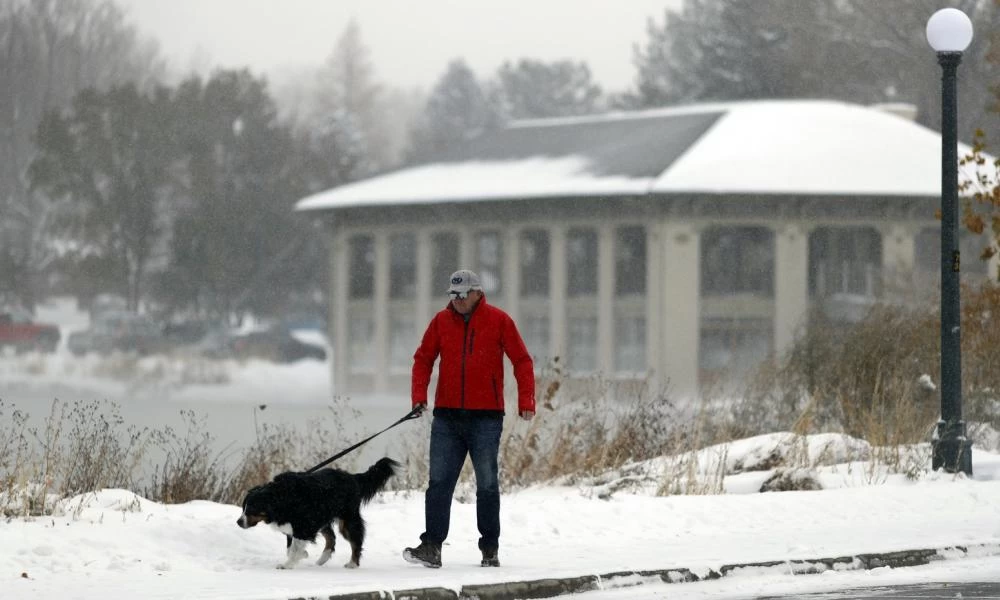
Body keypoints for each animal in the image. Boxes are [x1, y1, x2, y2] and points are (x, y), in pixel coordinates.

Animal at [238, 458, 398, 568]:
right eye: (243, 507)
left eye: (251, 509)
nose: (239, 522)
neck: (282, 498)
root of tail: (352, 477)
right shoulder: (294, 526)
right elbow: (291, 548)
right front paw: (302, 555)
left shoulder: (303, 526)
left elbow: (295, 547)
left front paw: (287, 565)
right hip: (322, 516)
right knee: (331, 538)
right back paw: (322, 560)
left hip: (347, 519)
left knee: (355, 541)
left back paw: (352, 563)